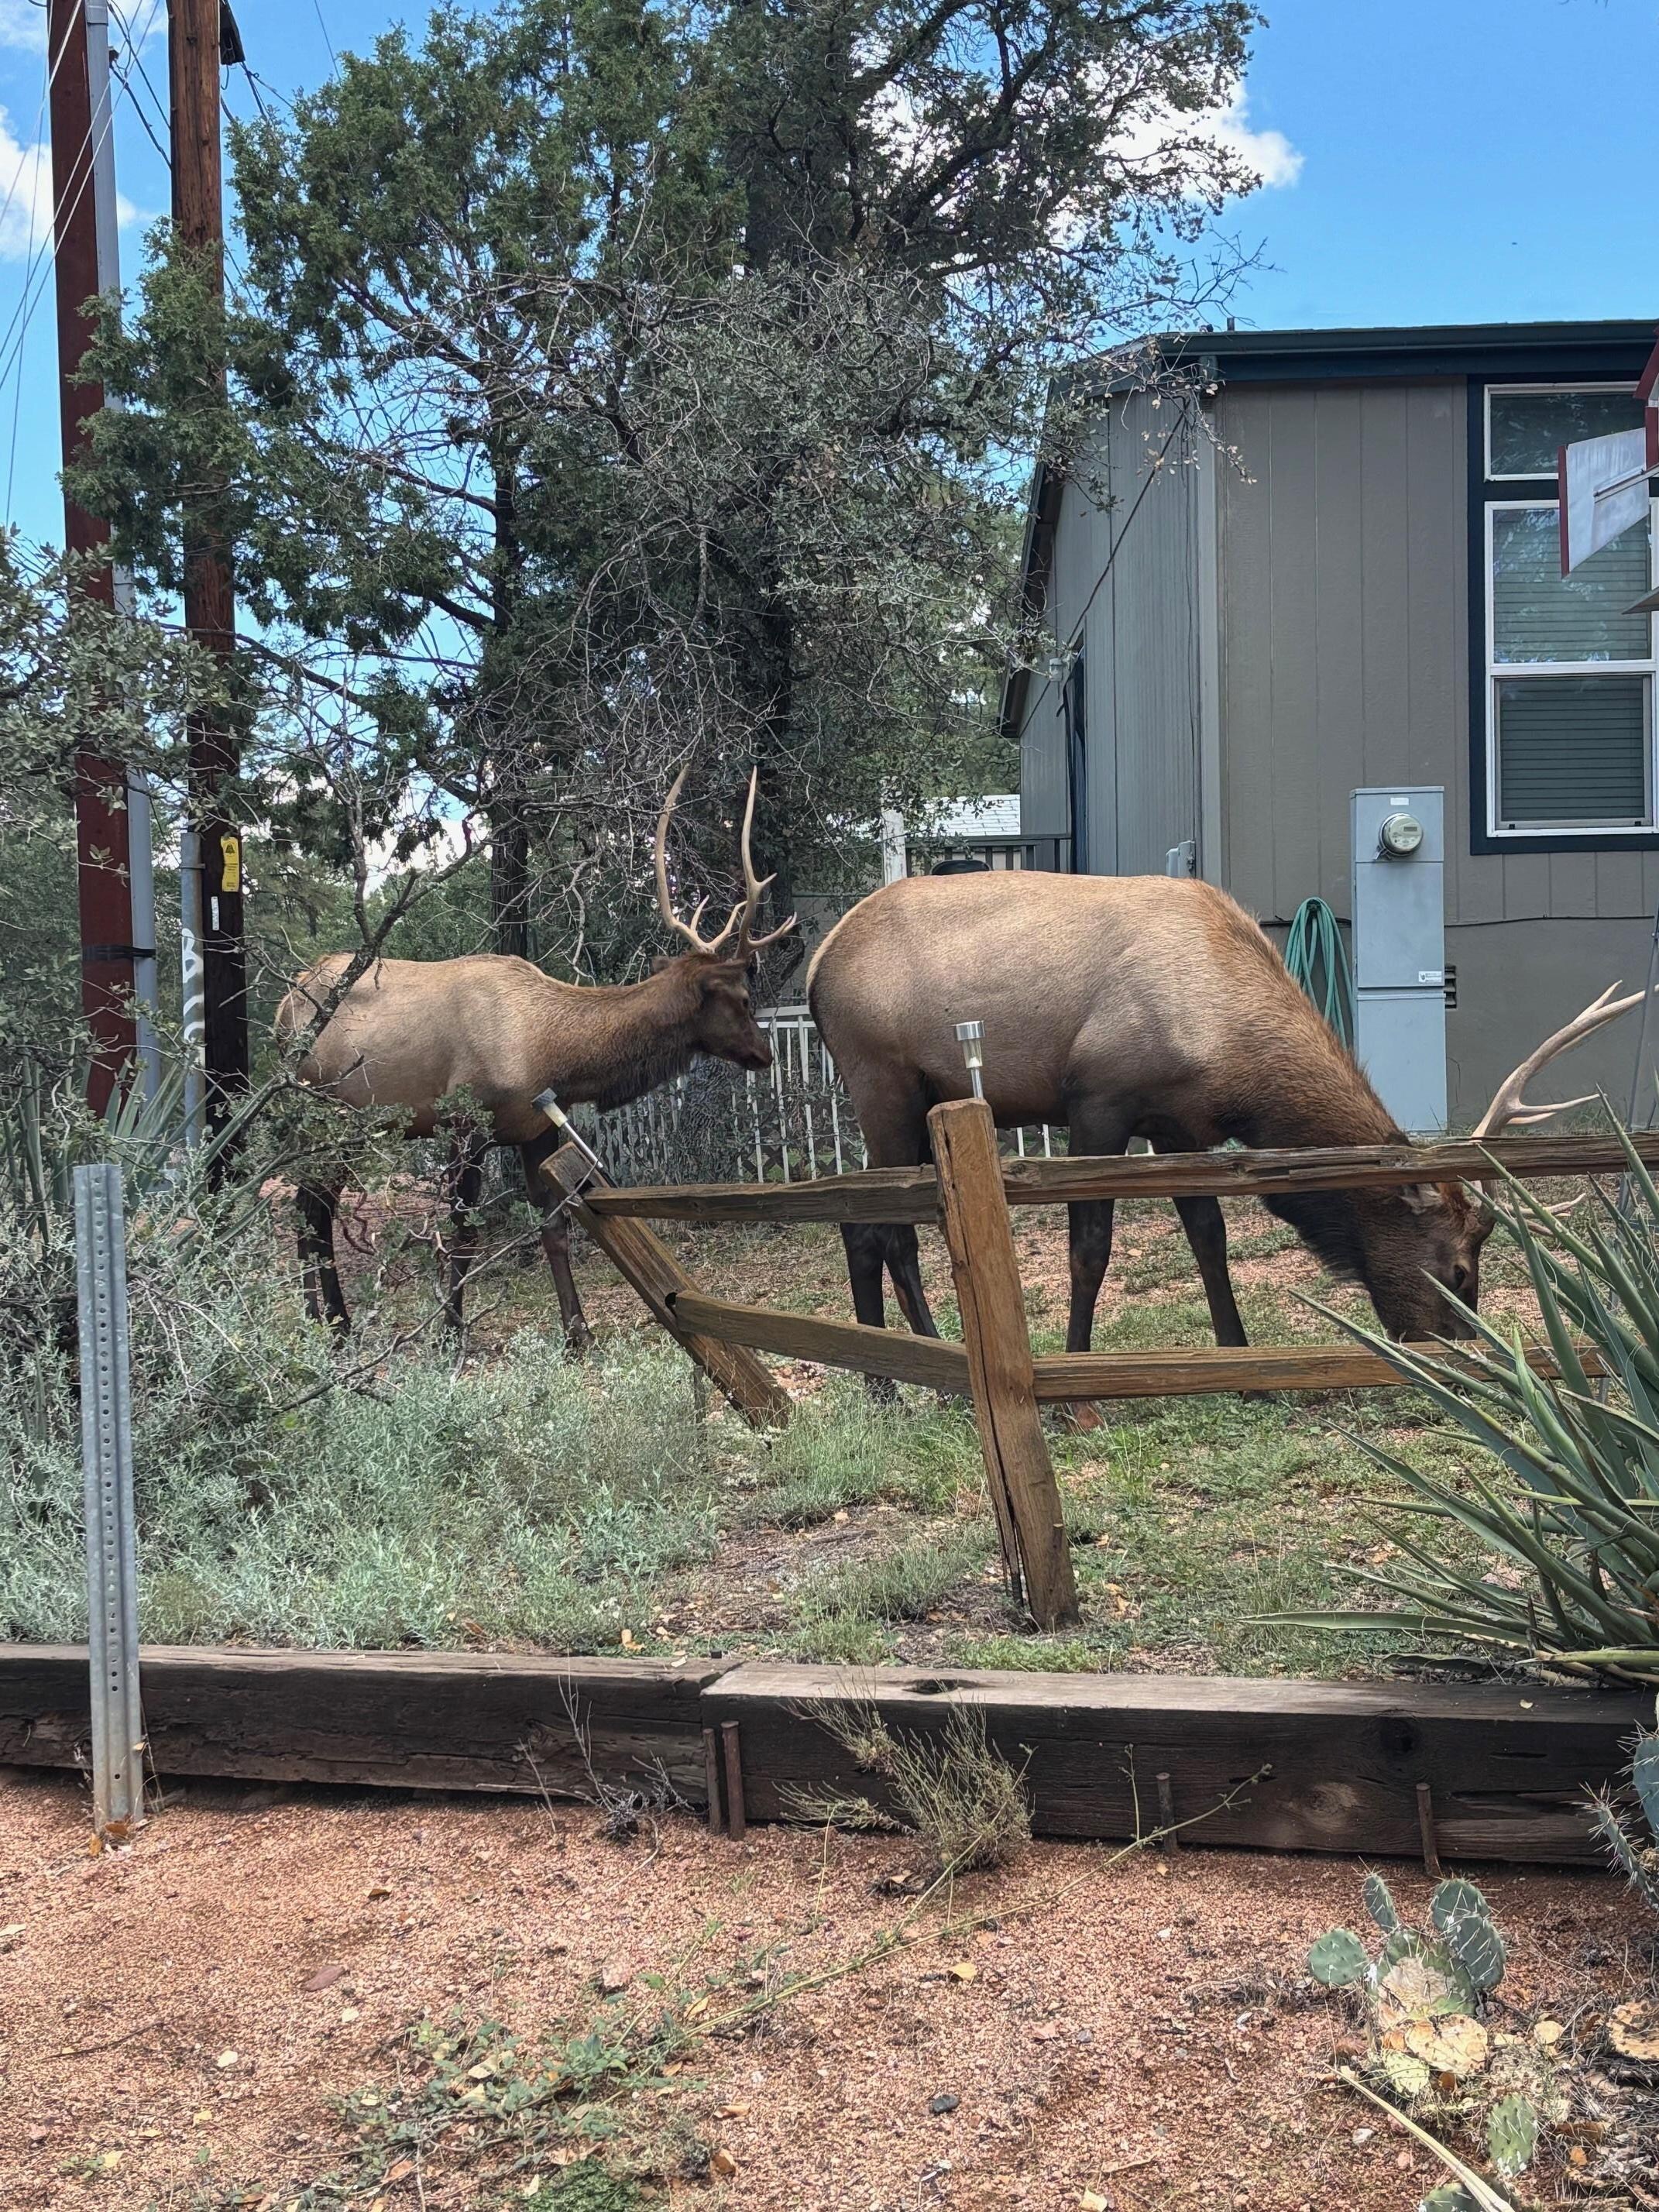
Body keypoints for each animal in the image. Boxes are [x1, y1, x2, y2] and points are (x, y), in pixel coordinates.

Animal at [277, 771, 796, 1342]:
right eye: (743, 998)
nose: (765, 1052)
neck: (551, 1053)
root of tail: (284, 1009)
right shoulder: (466, 1122)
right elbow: (463, 1234)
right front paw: (452, 1334)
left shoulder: (537, 1129)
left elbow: (556, 1228)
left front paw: (577, 1333)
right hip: (327, 1115)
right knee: (309, 1210)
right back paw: (327, 1323)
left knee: (312, 1208)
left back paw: (331, 1324)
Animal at [807, 869, 1645, 1372]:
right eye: (1460, 1271)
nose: (1467, 1358)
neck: (1234, 1056)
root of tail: (816, 967)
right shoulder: (1097, 1100)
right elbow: (1091, 1247)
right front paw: (1076, 1367)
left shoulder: (1179, 1124)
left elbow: (1210, 1239)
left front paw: (1238, 1357)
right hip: (883, 1081)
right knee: (883, 1229)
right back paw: (914, 1361)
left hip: (914, 1102)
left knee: (860, 1222)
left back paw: (883, 1375)